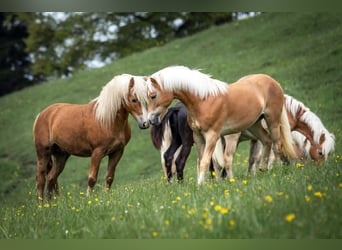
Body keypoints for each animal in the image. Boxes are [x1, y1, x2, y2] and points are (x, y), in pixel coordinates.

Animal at [146, 65, 296, 185]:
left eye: (153, 96)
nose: (151, 120)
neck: (203, 100)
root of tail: (272, 81)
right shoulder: (198, 137)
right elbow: (202, 161)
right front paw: (203, 184)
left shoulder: (212, 136)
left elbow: (206, 162)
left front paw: (201, 186)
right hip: (255, 124)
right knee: (267, 141)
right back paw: (264, 170)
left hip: (273, 121)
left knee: (277, 145)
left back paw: (278, 171)